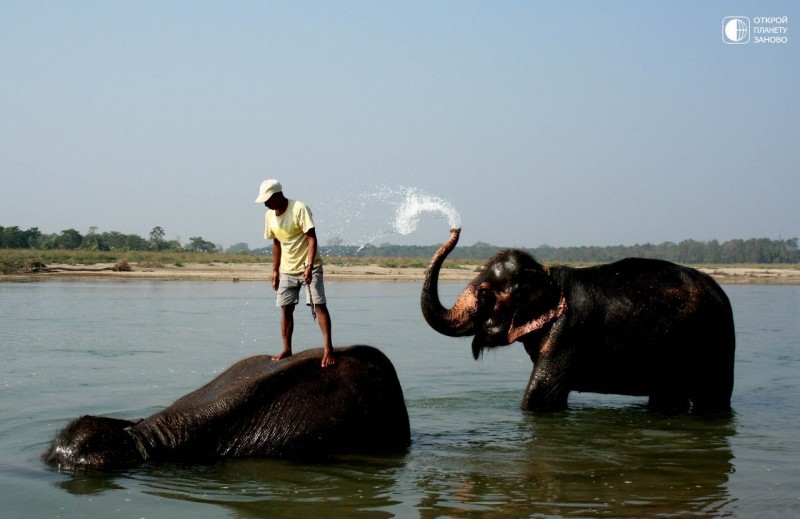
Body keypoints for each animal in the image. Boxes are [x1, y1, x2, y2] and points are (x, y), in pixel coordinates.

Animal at [422, 229, 736, 414]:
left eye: (485, 294)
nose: (455, 229)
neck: (546, 274)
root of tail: (720, 293)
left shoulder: (568, 332)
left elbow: (541, 397)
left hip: (715, 343)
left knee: (711, 398)